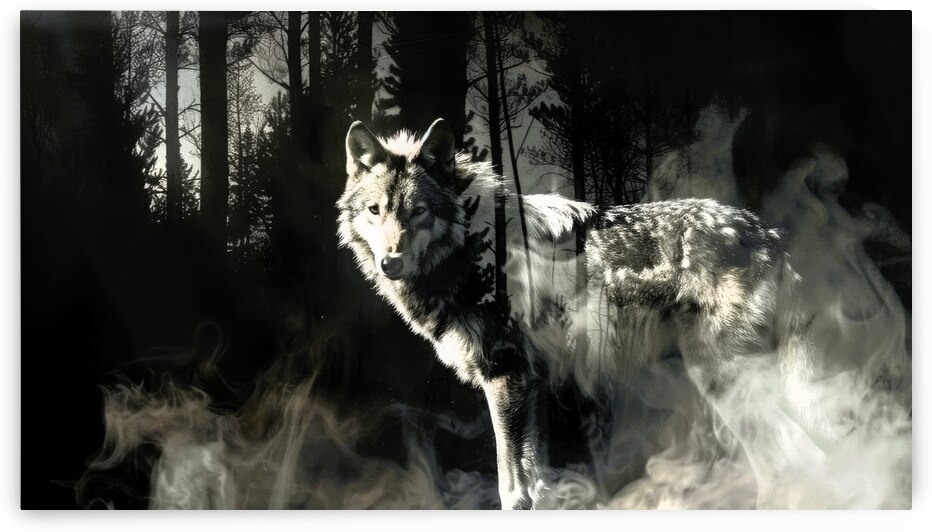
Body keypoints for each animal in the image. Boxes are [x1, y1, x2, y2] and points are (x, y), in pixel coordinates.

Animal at [336, 118, 815, 509]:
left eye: (418, 211)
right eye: (375, 210)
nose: (390, 263)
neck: (472, 248)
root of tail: (767, 233)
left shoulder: (506, 377)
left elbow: (511, 488)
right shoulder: (532, 383)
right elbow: (534, 484)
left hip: (725, 382)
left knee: (794, 458)